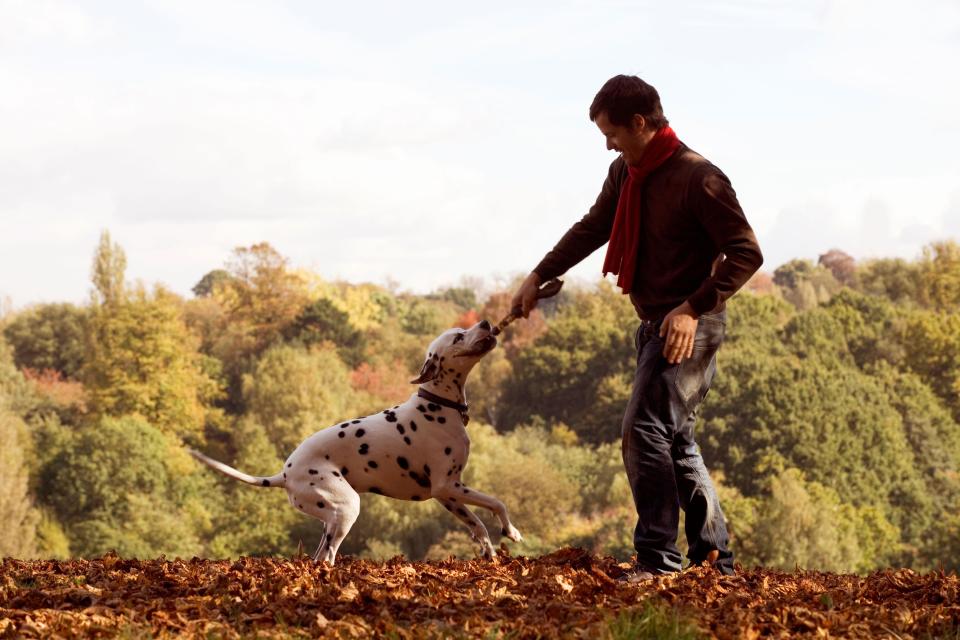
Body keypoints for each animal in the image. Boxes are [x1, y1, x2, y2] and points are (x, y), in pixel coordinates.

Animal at [190, 320, 520, 564]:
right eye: (458, 336)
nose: (486, 322)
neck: (438, 405)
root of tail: (284, 473)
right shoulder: (448, 487)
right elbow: (496, 503)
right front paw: (511, 531)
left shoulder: (449, 495)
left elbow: (478, 524)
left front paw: (491, 551)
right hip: (348, 509)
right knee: (327, 558)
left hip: (331, 519)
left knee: (319, 557)